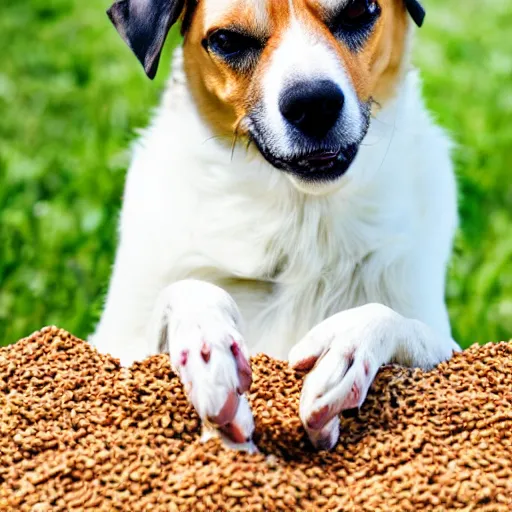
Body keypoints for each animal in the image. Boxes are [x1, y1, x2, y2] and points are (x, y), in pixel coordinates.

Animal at [91, 0, 460, 450]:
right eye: (227, 39)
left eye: (358, 11)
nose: (314, 105)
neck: (301, 218)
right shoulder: (116, 338)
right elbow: (185, 292)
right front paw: (207, 344)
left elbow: (398, 321)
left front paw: (349, 347)